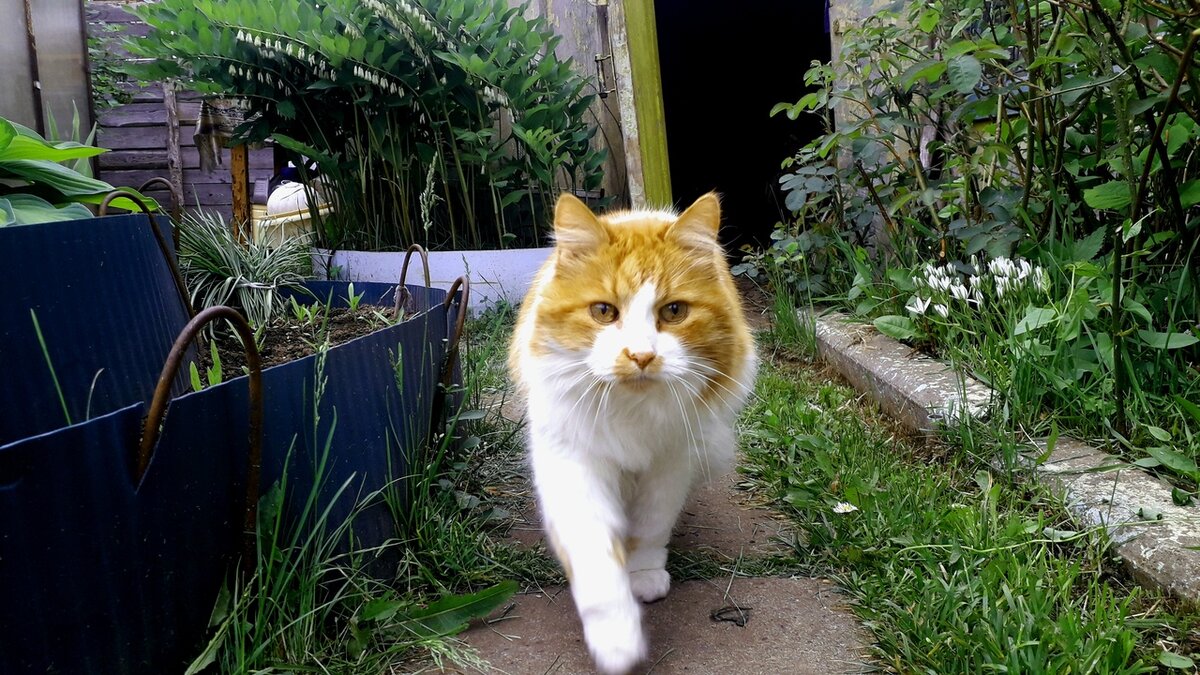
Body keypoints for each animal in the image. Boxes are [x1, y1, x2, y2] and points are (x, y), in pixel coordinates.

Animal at [508, 192, 757, 674]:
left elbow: (651, 526)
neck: (631, 408)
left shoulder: (671, 461)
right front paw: (616, 640)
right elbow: (596, 561)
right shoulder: (572, 462)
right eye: (604, 311)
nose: (641, 356)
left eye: (673, 311)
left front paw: (643, 576)